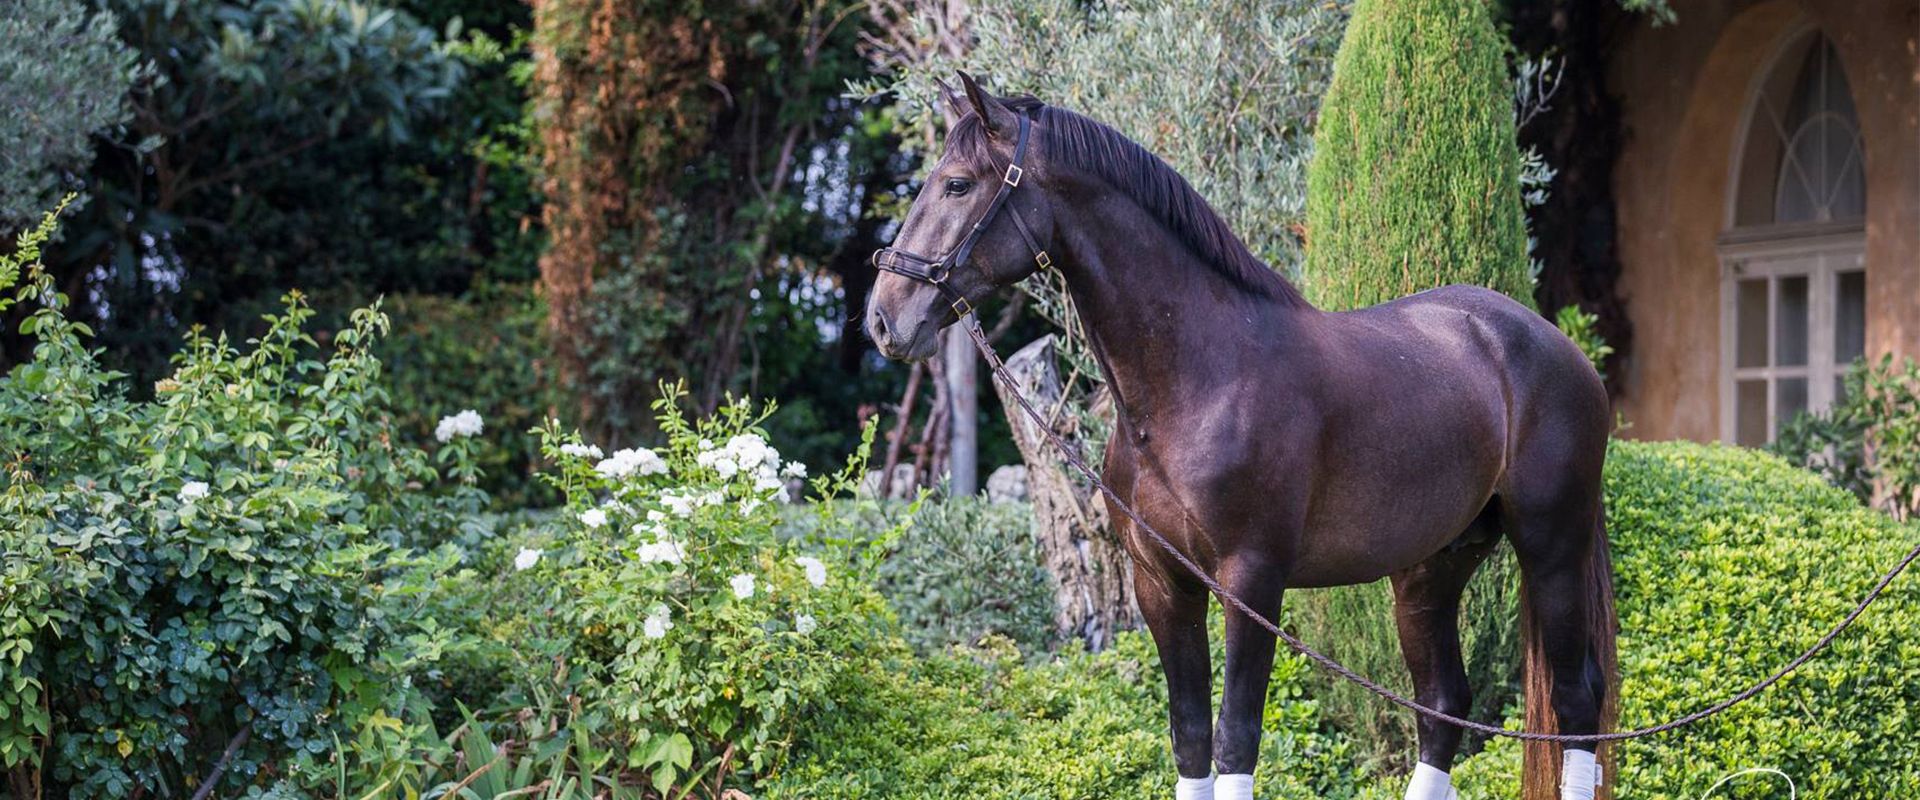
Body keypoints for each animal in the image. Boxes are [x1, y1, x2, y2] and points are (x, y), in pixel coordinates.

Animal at [871, 74, 1620, 798]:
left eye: (957, 184)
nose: (884, 319)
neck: (1196, 381)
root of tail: (1560, 349)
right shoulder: (1162, 582)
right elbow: (1191, 737)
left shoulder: (1251, 580)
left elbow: (1236, 738)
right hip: (1431, 567)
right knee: (1443, 704)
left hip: (1551, 549)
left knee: (1576, 705)